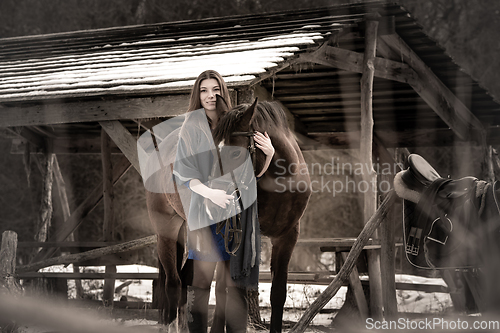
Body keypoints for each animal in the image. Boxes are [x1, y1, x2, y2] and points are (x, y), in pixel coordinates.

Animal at [143, 96, 310, 332]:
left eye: (235, 152)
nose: (212, 202)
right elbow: (232, 294)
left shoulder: (287, 237)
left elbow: (277, 293)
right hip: (167, 228)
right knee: (174, 283)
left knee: (187, 281)